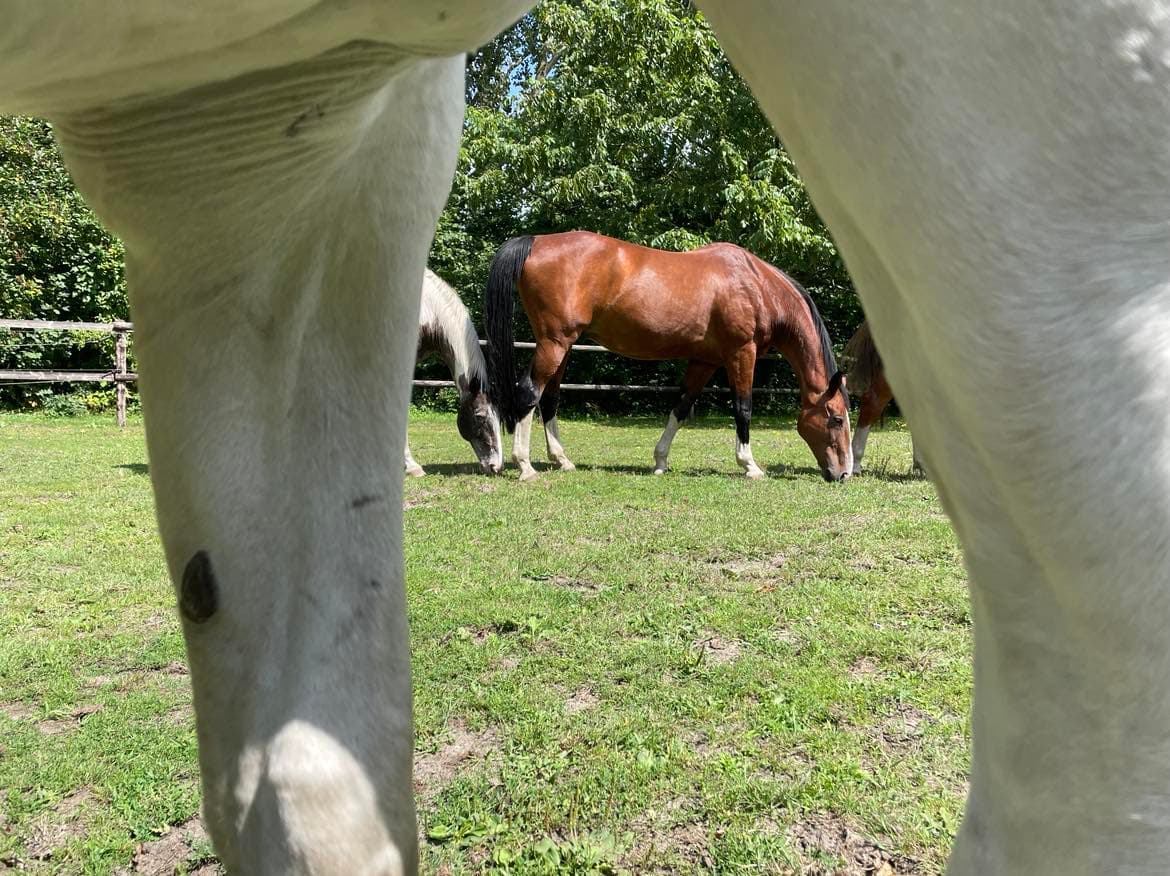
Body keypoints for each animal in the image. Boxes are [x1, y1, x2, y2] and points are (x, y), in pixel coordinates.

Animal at [484, 231, 852, 482]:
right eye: (835, 418)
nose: (844, 473)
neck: (756, 285)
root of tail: (536, 241)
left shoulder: (705, 361)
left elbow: (681, 406)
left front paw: (660, 461)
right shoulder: (740, 353)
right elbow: (743, 407)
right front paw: (750, 465)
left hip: (563, 346)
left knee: (550, 399)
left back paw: (562, 460)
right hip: (554, 343)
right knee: (529, 393)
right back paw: (525, 465)